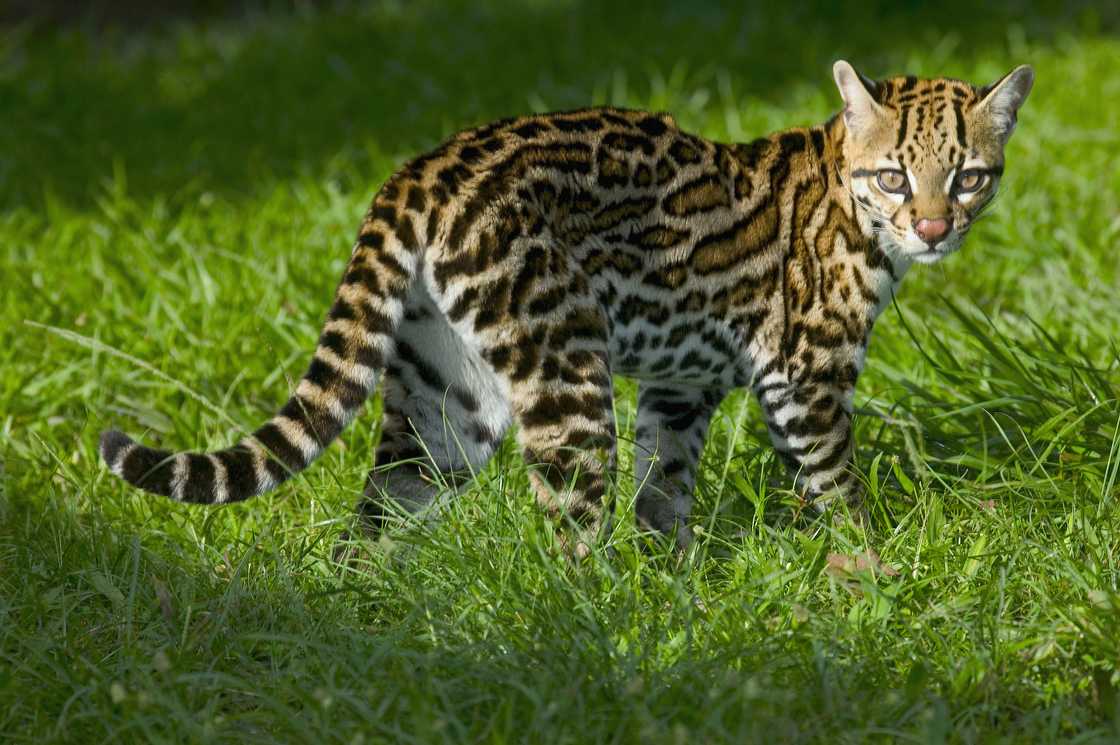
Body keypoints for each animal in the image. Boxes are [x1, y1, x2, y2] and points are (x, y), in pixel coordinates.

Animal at [98, 61, 1030, 551]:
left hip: (449, 395)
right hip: (566, 370)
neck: (848, 197)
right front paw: (871, 567)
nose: (935, 226)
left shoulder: (681, 386)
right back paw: (590, 625)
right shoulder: (806, 377)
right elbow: (836, 486)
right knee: (565, 540)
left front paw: (675, 581)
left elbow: (665, 487)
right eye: (896, 178)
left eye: (969, 176)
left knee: (382, 510)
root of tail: (420, 170)